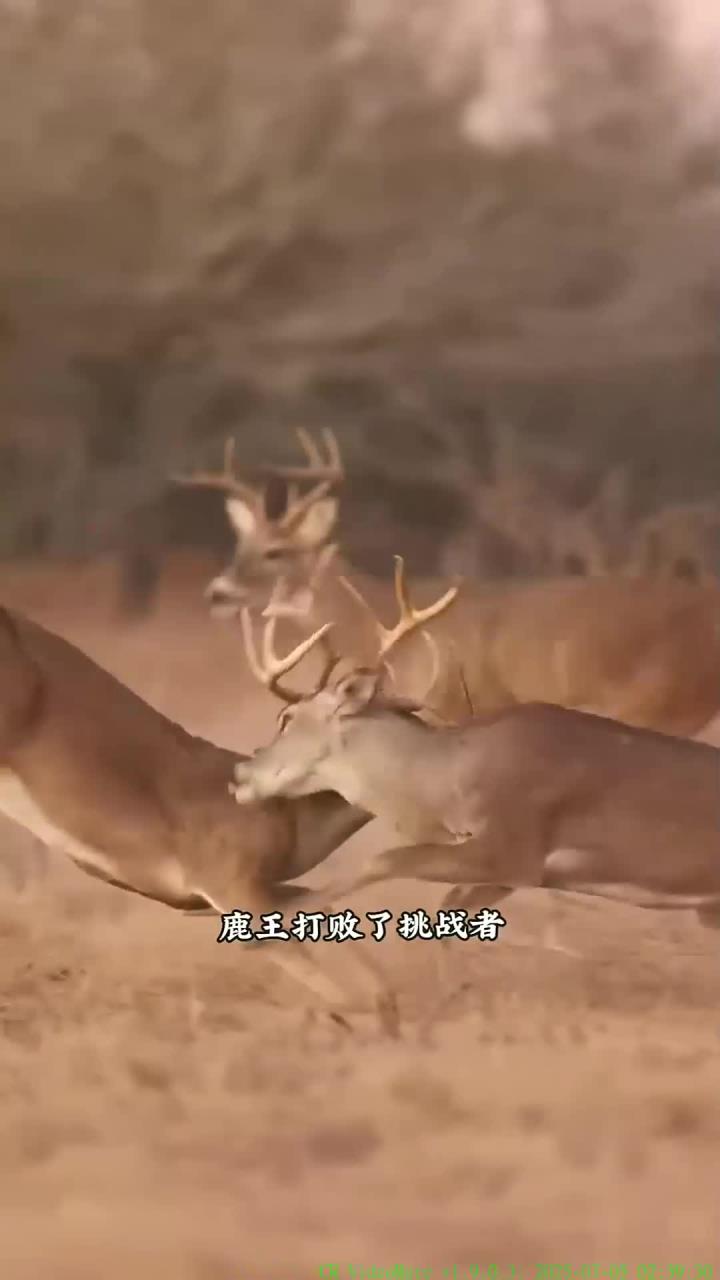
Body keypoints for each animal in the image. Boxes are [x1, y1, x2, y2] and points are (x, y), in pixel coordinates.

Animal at [230, 576, 720, 938]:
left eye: (287, 717)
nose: (240, 774)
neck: (450, 778)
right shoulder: (511, 869)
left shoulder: (515, 845)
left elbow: (384, 860)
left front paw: (274, 917)